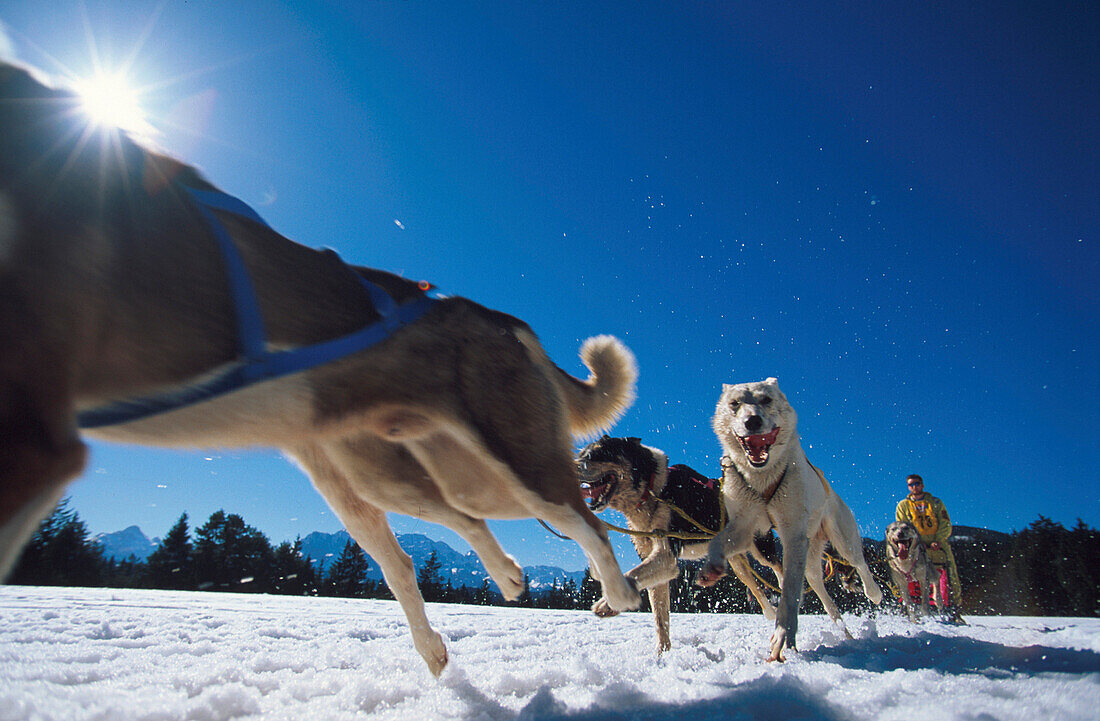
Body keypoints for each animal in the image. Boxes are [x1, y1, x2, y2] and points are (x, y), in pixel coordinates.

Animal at [0, 62, 642, 678]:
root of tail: (491, 315)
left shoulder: (34, 447)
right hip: (392, 479)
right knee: (430, 543)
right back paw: (483, 600)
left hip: (507, 462)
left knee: (584, 521)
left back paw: (618, 592)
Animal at [695, 380, 884, 664]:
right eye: (735, 403)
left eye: (766, 400)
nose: (752, 421)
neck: (762, 478)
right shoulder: (745, 526)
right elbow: (717, 543)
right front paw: (712, 568)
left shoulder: (793, 535)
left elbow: (790, 595)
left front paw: (783, 637)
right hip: (800, 561)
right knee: (826, 600)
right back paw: (845, 632)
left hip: (841, 539)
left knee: (859, 564)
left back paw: (874, 593)